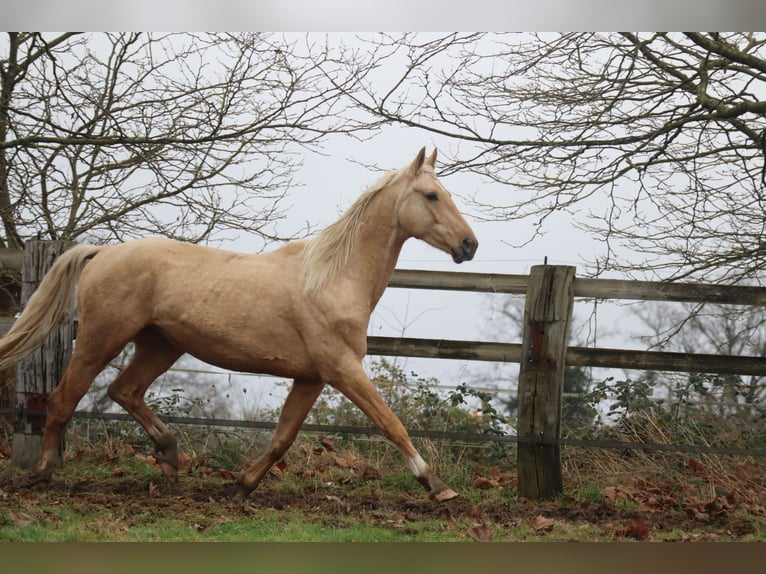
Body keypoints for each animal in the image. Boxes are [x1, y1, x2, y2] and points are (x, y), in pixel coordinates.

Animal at [0, 150, 476, 504]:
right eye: (431, 196)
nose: (469, 245)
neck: (332, 279)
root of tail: (101, 253)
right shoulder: (341, 368)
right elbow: (391, 424)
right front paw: (438, 487)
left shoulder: (311, 377)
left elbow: (283, 437)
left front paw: (242, 486)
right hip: (102, 337)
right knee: (64, 398)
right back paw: (44, 472)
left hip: (160, 345)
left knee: (125, 391)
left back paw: (170, 458)